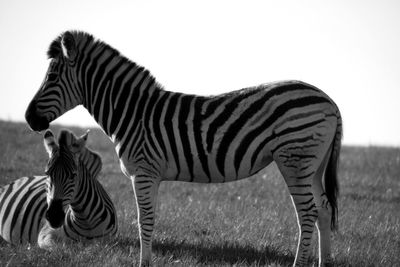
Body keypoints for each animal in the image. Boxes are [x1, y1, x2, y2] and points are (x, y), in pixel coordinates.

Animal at [25, 30, 344, 266]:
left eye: (51, 77)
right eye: (47, 174)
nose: (28, 118)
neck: (133, 112)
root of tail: (329, 100)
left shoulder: (143, 172)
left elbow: (144, 221)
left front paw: (144, 264)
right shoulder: (151, 175)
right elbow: (149, 221)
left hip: (295, 158)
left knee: (308, 212)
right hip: (313, 164)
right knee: (324, 208)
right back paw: (325, 262)